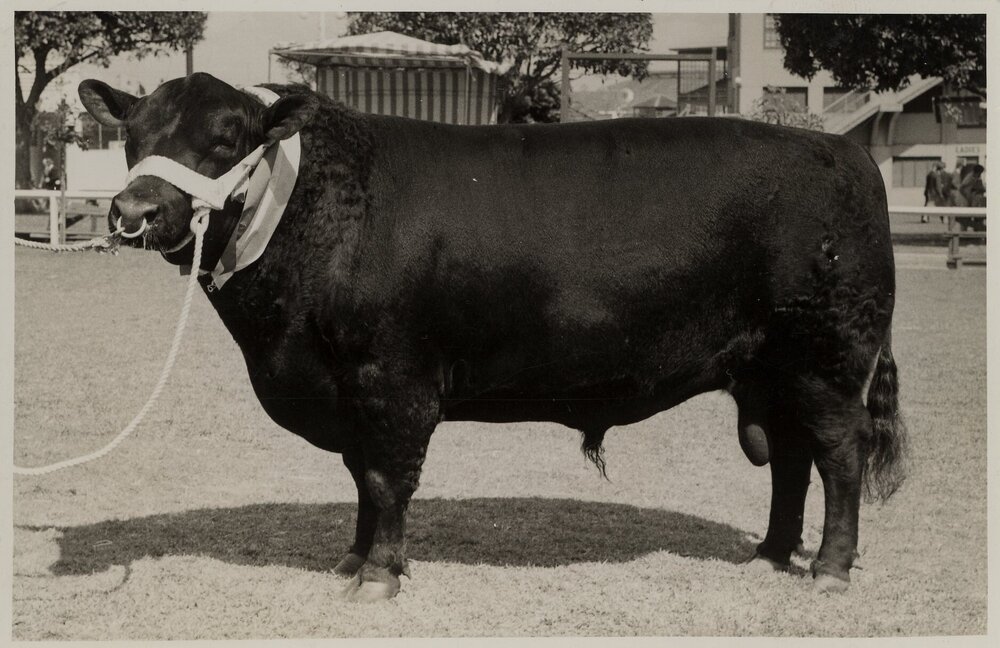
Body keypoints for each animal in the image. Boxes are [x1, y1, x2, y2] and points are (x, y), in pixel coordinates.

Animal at [78, 72, 906, 601]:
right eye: (133, 137)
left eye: (226, 139)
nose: (135, 210)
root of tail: (847, 152)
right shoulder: (347, 392)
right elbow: (361, 479)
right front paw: (352, 560)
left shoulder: (392, 378)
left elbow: (387, 478)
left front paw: (379, 576)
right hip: (769, 371)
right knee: (790, 461)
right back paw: (769, 555)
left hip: (827, 360)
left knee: (838, 454)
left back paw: (829, 569)